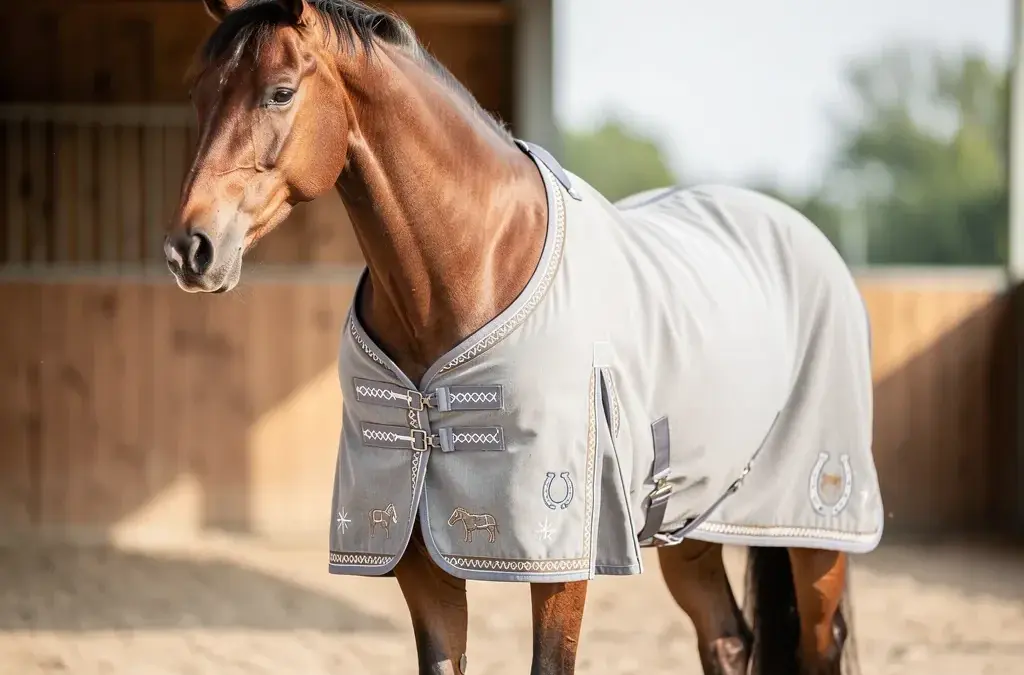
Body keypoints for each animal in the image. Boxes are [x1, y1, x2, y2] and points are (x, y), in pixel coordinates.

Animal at [163, 1, 884, 674]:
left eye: (280, 91)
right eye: (199, 92)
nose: (190, 249)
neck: (478, 261)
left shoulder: (562, 558)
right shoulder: (416, 556)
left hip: (816, 534)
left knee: (818, 643)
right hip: (690, 522)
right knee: (727, 637)